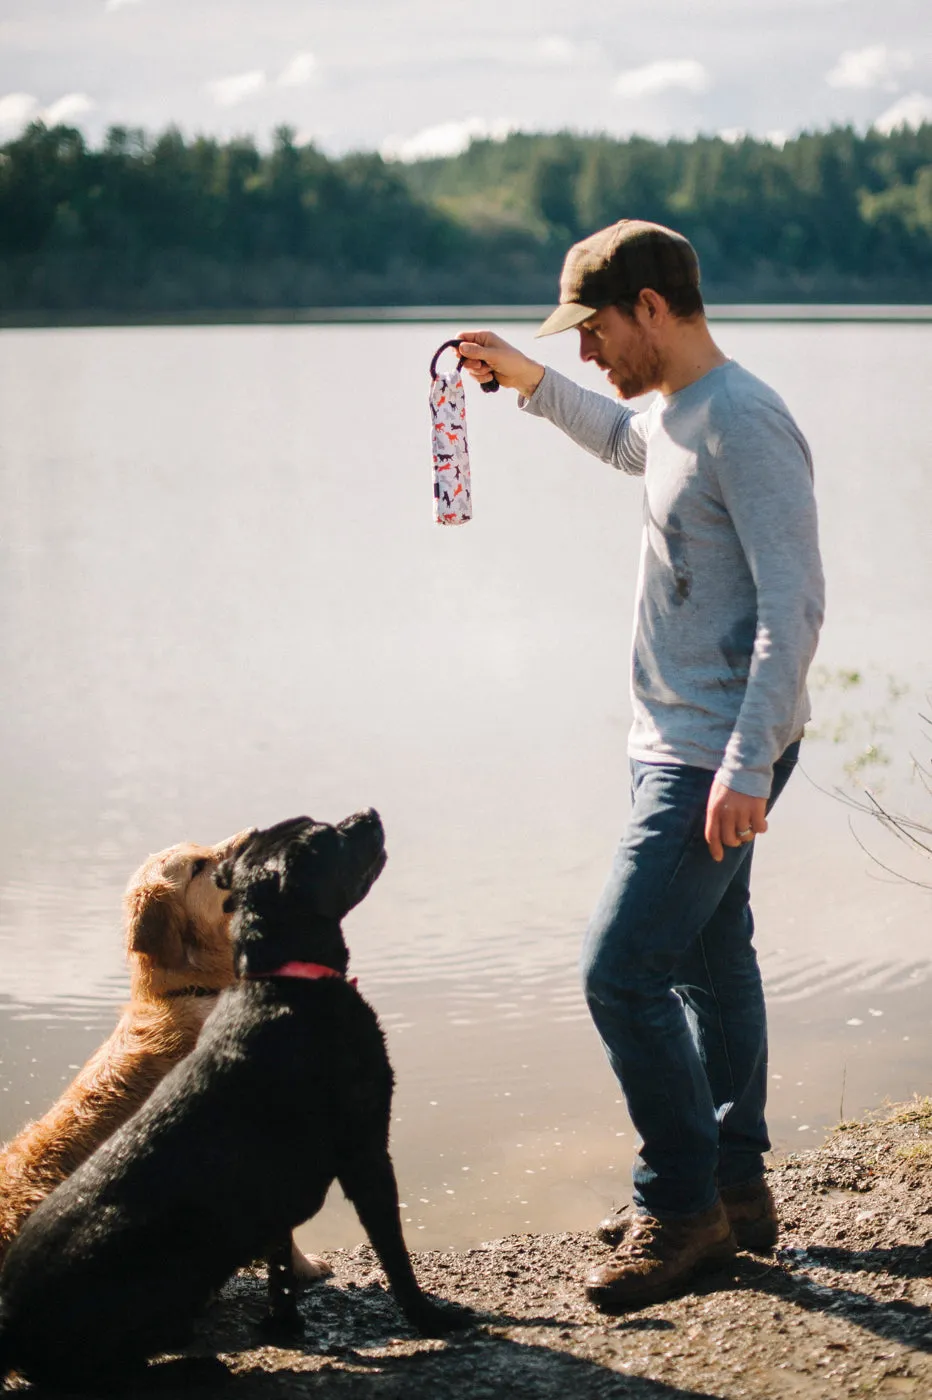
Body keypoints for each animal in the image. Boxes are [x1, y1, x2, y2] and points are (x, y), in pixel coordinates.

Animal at [0, 812, 461, 1388]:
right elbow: (385, 1252)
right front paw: (423, 1315)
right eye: (197, 866)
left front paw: (286, 1316)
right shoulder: (361, 1152)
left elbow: (281, 1258)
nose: (369, 815)